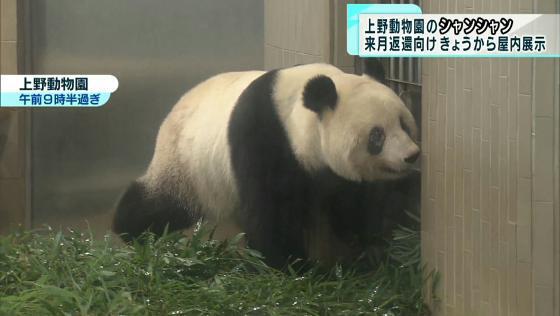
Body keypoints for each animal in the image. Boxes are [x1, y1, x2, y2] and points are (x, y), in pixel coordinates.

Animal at [115, 61, 420, 266]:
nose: (411, 155)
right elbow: (271, 209)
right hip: (190, 168)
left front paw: (367, 246)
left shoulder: (335, 173)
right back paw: (130, 228)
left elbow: (353, 200)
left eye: (404, 123)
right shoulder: (262, 137)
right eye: (377, 135)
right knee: (163, 203)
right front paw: (291, 265)